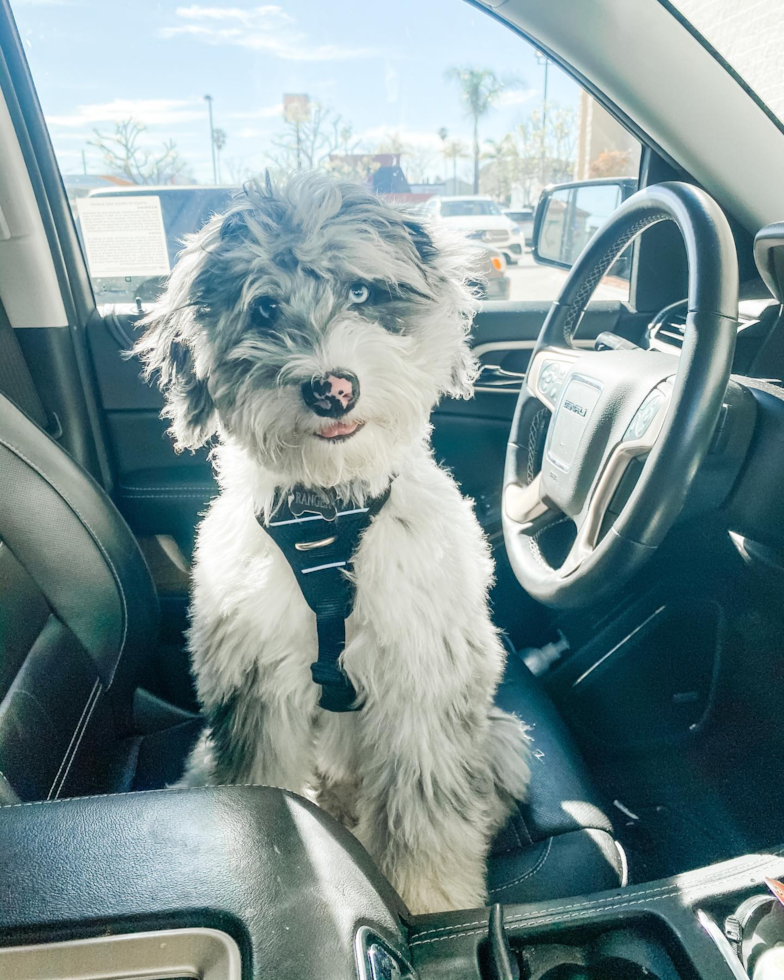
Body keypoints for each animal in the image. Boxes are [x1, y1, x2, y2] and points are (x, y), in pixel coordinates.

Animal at [136, 172, 532, 916]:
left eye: (363, 293)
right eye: (264, 308)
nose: (332, 387)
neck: (328, 514)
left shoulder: (423, 678)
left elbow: (425, 810)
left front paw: (429, 899)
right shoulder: (254, 683)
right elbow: (264, 782)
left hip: (497, 733)